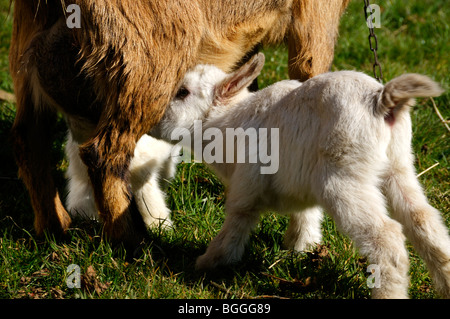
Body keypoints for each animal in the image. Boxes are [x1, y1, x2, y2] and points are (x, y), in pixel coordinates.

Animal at [8, 0, 350, 249]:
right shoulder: (316, 18)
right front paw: (304, 243)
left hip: (31, 57)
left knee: (28, 139)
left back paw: (55, 228)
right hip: (149, 59)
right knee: (104, 153)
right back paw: (131, 242)